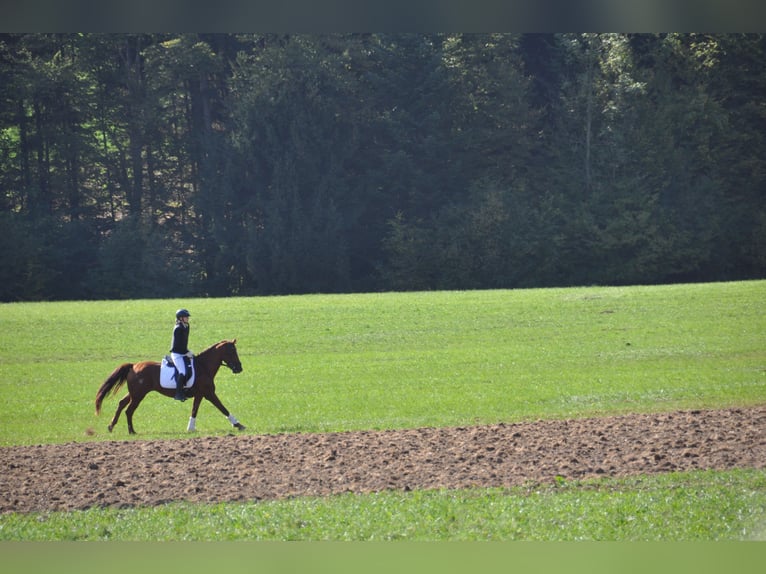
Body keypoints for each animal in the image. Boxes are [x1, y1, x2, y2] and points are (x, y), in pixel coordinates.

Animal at [95, 339, 245, 435]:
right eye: (232, 351)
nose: (239, 368)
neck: (203, 366)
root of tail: (133, 366)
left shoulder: (200, 395)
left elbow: (194, 410)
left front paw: (190, 428)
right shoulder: (208, 393)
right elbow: (222, 408)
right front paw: (238, 424)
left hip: (134, 393)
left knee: (121, 404)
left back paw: (111, 426)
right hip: (138, 395)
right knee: (129, 410)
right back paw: (131, 431)